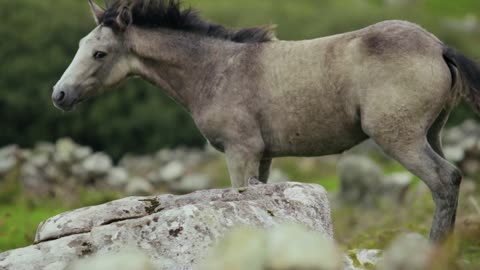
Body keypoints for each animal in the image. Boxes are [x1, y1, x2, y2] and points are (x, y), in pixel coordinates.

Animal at [53, 0, 480, 240]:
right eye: (81, 46)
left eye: (100, 54)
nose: (60, 95)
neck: (216, 70)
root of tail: (438, 46)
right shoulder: (263, 156)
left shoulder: (240, 151)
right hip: (432, 133)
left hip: (400, 138)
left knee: (445, 181)